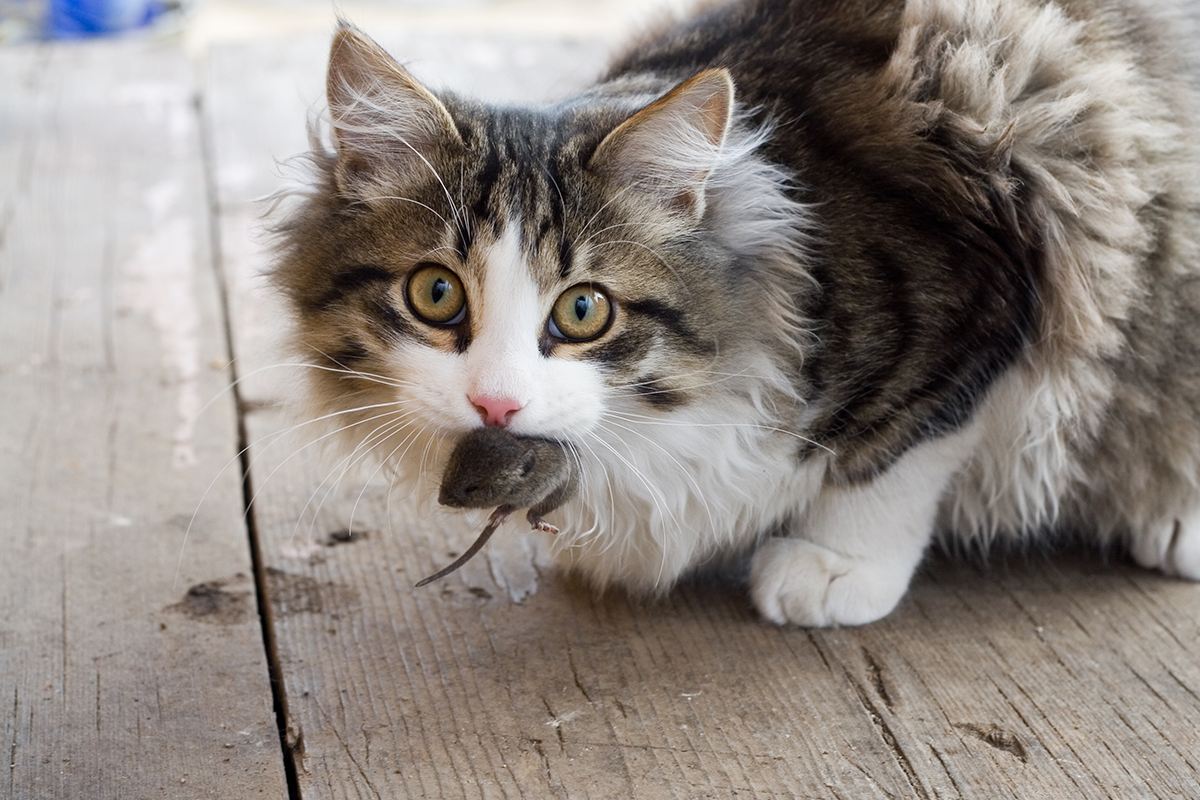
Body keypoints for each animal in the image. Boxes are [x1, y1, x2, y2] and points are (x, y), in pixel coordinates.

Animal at [270, 0, 1200, 623]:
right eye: (436, 294)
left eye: (584, 311)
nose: (495, 403)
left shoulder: (989, 292)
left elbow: (895, 457)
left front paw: (835, 566)